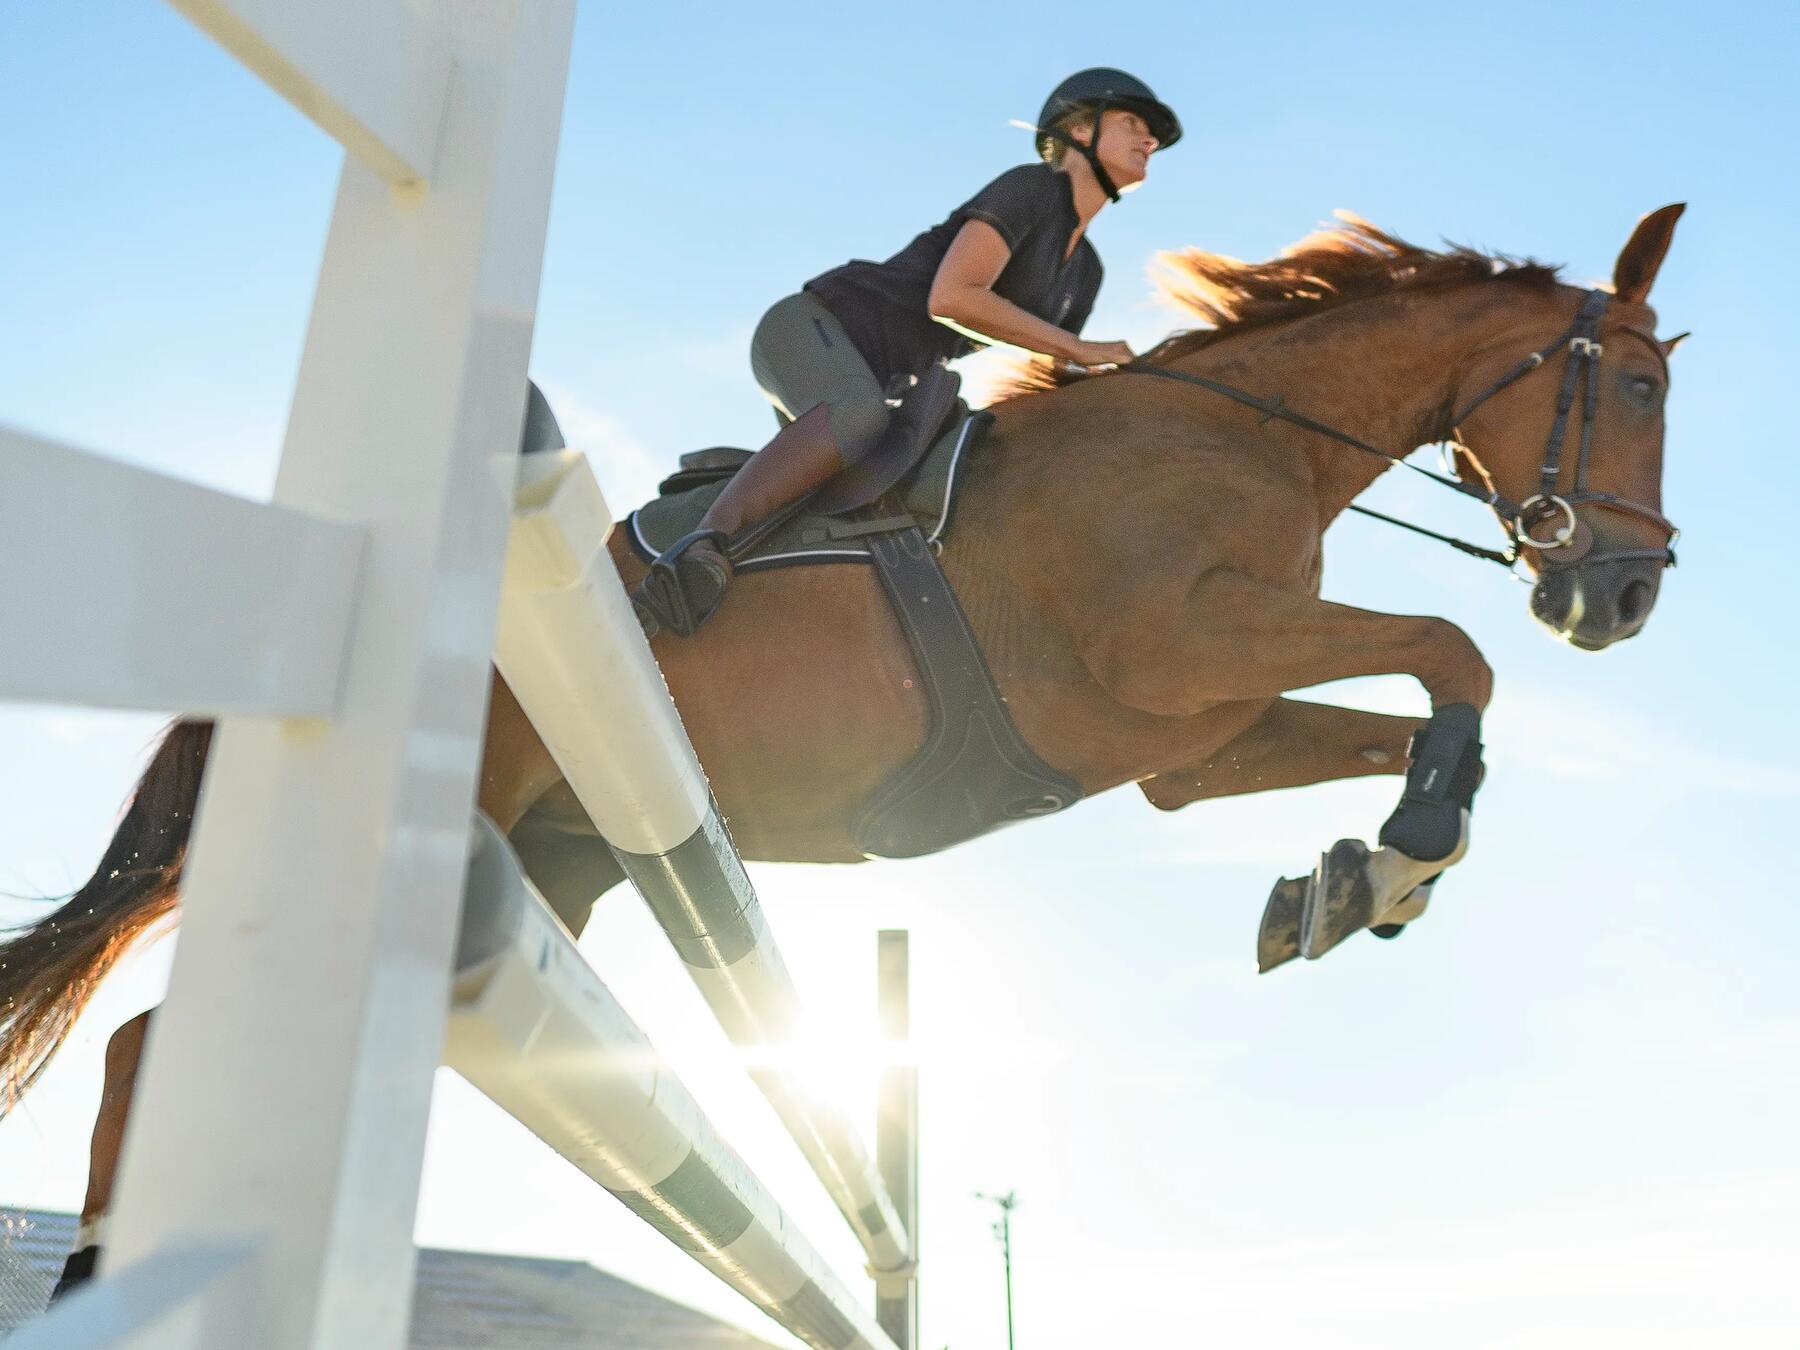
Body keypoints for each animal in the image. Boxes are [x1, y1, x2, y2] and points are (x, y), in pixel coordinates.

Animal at [3, 203, 1684, 1303]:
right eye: (1641, 383)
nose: (1621, 596)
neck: (1245, 439)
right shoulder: (1180, 648)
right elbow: (1452, 648)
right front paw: (1387, 861)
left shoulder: (1193, 739)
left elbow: (1428, 703)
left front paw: (1351, 881)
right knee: (148, 1043)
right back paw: (92, 1270)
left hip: (554, 870)